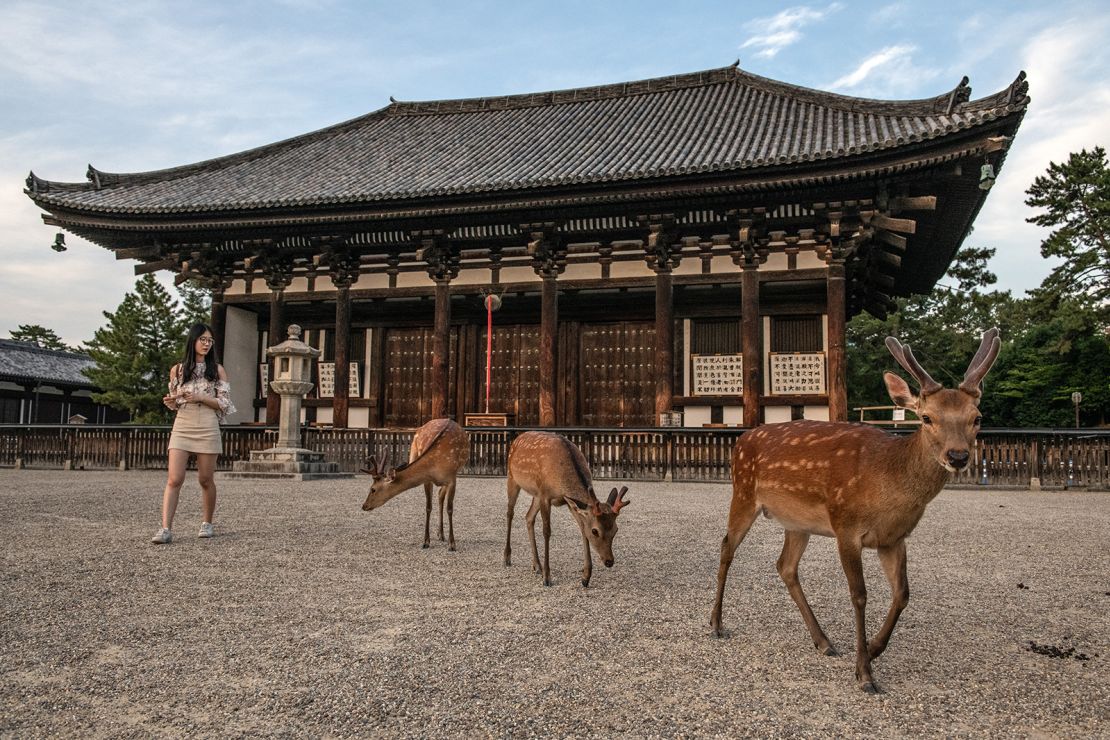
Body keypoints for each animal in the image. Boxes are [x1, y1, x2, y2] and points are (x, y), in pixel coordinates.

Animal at [361, 417, 470, 550]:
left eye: (373, 489)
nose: (364, 506)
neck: (435, 463)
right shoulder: (427, 479)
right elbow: (428, 507)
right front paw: (426, 541)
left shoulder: (452, 478)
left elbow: (450, 509)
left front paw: (452, 544)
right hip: (413, 453)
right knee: (440, 495)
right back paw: (440, 534)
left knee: (441, 496)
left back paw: (442, 534)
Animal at [506, 430, 630, 585]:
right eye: (595, 531)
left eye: (616, 529)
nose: (609, 561)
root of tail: (518, 438)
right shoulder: (545, 495)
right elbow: (547, 531)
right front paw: (547, 577)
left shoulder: (568, 501)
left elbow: (582, 529)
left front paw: (586, 577)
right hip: (512, 477)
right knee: (510, 512)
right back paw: (507, 558)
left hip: (536, 495)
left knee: (529, 517)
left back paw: (537, 566)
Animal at [710, 330, 1007, 696]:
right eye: (926, 417)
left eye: (976, 418)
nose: (958, 456)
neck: (887, 487)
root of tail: (741, 439)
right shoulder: (846, 526)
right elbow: (859, 595)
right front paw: (865, 672)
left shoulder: (894, 538)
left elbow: (903, 593)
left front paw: (875, 648)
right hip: (743, 492)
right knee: (727, 547)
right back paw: (717, 623)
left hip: (797, 522)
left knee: (785, 566)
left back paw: (823, 642)